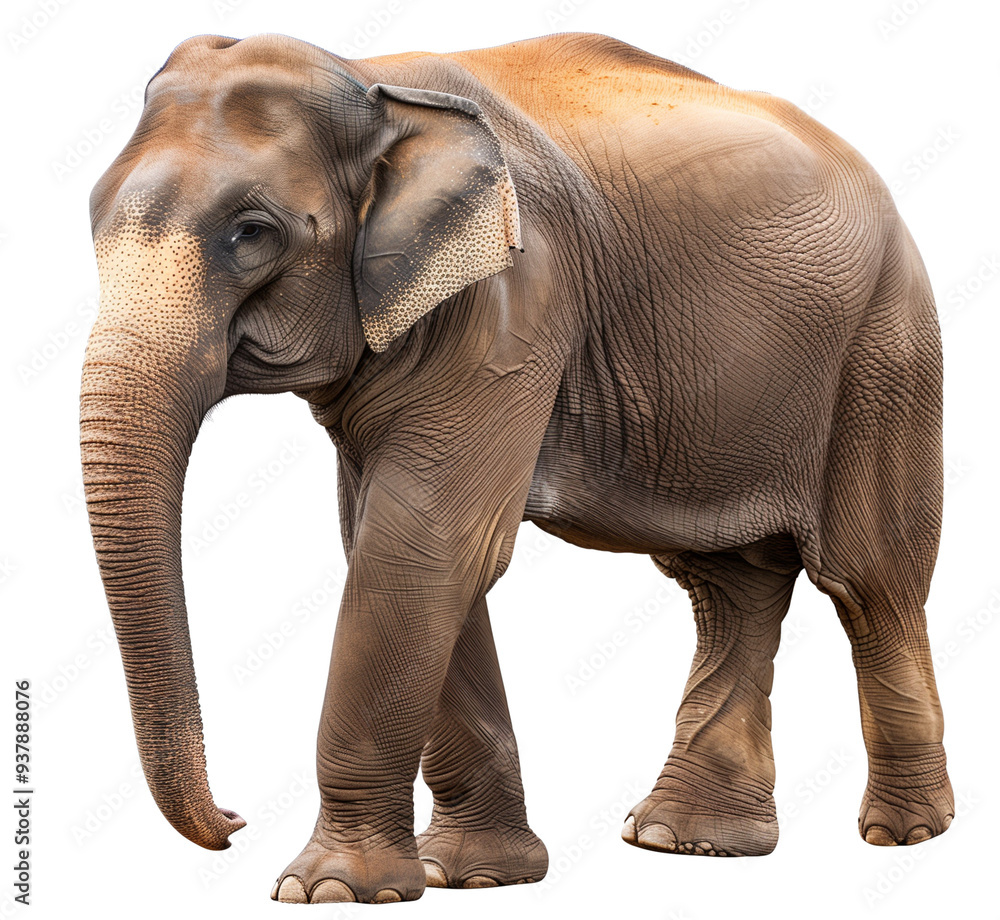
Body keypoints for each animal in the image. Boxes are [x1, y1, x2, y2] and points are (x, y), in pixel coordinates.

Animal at [81, 30, 954, 904]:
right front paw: (468, 875)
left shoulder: (511, 300)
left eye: (251, 232)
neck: (371, 83)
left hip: (886, 346)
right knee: (727, 586)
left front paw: (330, 890)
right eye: (92, 221)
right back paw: (687, 842)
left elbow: (423, 547)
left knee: (869, 580)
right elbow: (403, 547)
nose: (234, 821)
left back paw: (903, 834)